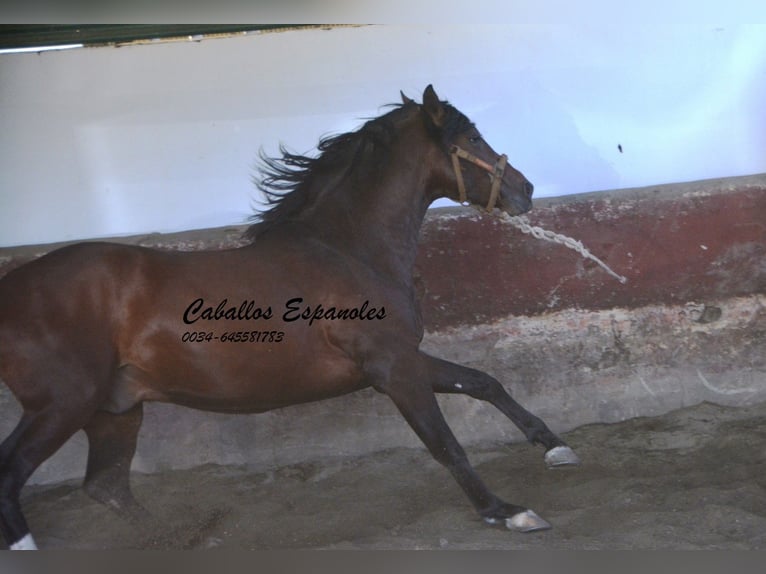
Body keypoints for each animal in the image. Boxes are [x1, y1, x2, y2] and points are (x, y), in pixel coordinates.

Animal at [0, 86, 576, 552]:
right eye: (473, 136)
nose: (526, 190)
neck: (348, 249)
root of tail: (11, 288)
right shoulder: (395, 370)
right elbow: (446, 444)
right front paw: (506, 512)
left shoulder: (401, 361)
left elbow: (483, 382)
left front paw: (556, 447)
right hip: (62, 405)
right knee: (13, 475)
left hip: (114, 409)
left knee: (108, 486)